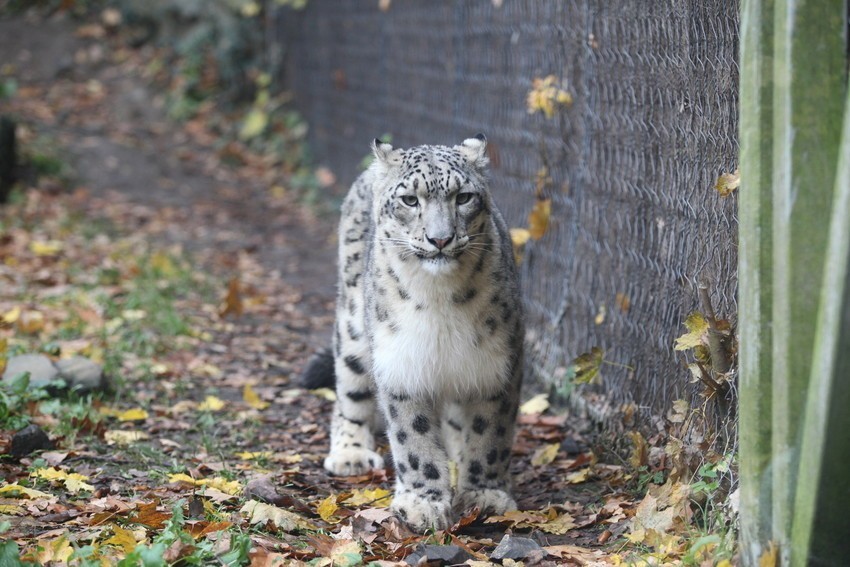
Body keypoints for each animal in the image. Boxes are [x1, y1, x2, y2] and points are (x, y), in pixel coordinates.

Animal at [302, 136, 520, 532]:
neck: (440, 299)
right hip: (353, 331)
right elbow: (413, 437)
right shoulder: (401, 364)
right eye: (409, 200)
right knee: (349, 393)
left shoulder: (496, 365)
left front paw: (485, 495)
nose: (440, 239)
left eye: (463, 197)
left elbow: (489, 434)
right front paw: (423, 503)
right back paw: (350, 453)